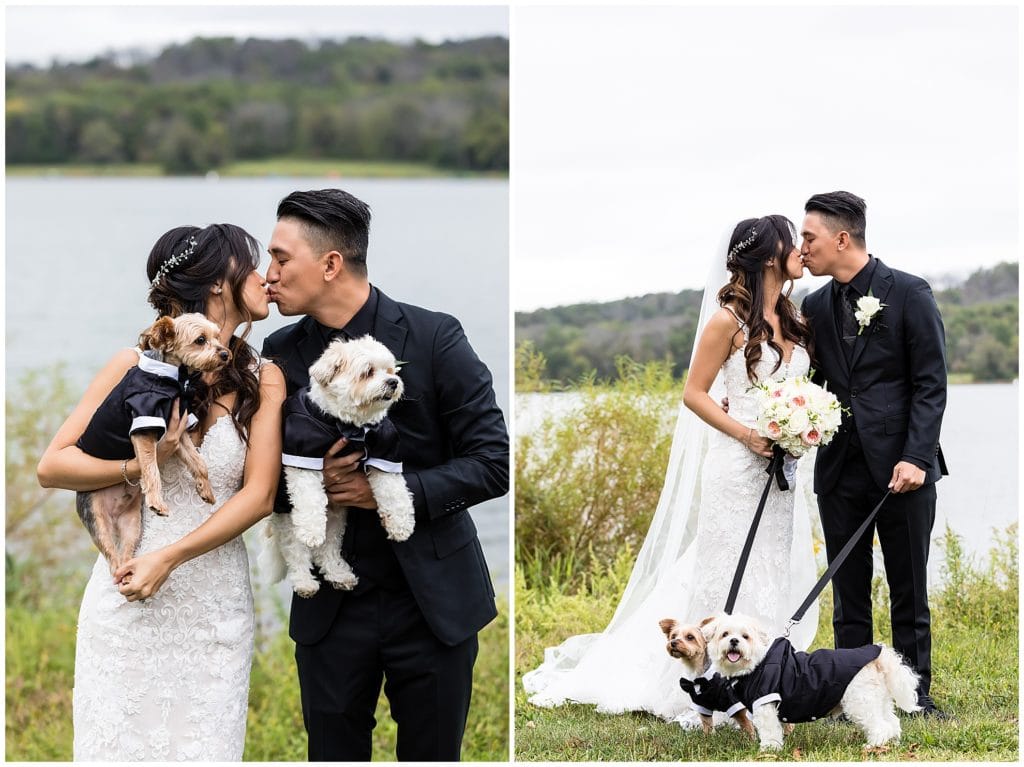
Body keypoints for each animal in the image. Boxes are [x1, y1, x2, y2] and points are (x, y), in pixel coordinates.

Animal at [74, 311, 231, 569]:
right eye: (200, 340)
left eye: (218, 336)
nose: (225, 353)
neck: (171, 377)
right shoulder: (144, 424)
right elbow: (150, 467)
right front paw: (157, 501)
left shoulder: (179, 431)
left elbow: (198, 463)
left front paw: (205, 489)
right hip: (96, 518)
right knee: (113, 560)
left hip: (132, 525)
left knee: (125, 557)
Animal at [264, 335, 415, 598]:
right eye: (368, 372)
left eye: (389, 370)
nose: (393, 382)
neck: (347, 425)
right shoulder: (303, 451)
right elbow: (309, 498)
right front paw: (311, 530)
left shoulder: (384, 449)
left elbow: (393, 491)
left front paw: (400, 524)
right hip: (289, 521)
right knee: (296, 551)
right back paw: (305, 582)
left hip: (335, 521)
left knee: (328, 549)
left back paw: (339, 574)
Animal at [704, 614, 921, 749]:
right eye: (724, 634)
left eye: (745, 636)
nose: (734, 641)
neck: (756, 663)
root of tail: (878, 657)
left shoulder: (765, 702)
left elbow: (769, 730)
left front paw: (769, 749)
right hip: (878, 700)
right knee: (892, 722)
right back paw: (892, 742)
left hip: (860, 702)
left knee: (880, 726)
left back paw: (873, 745)